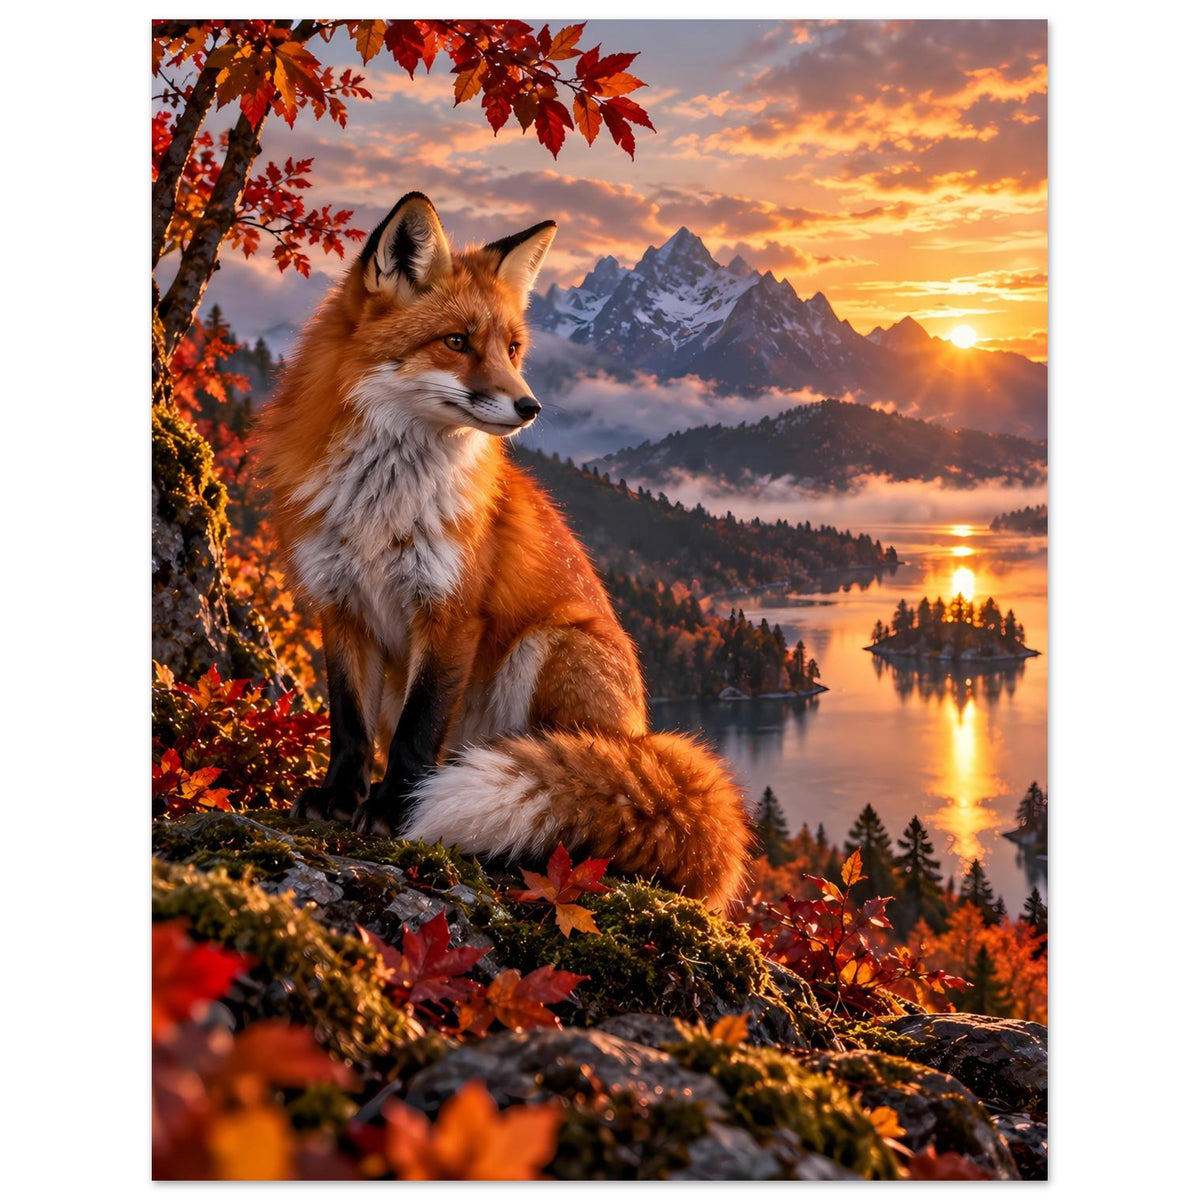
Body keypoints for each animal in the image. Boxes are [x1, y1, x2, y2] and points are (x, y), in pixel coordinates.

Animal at [255, 192, 752, 912]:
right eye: (457, 342)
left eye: (513, 348)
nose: (529, 406)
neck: (382, 504)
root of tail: (642, 736)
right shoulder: (340, 604)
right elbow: (349, 726)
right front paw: (339, 800)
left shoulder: (451, 611)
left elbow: (416, 733)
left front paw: (393, 812)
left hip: (549, 646)